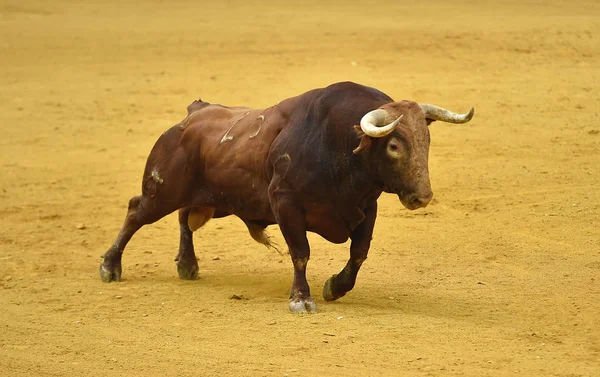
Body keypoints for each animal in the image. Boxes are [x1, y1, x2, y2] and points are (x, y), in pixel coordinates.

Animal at [99, 81, 474, 312]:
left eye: (426, 139)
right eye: (394, 145)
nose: (423, 196)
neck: (338, 144)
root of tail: (192, 114)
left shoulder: (366, 209)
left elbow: (359, 254)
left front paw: (335, 287)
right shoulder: (285, 204)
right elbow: (301, 253)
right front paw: (301, 299)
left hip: (215, 201)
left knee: (184, 218)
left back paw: (188, 265)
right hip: (163, 190)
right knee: (136, 212)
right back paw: (110, 265)